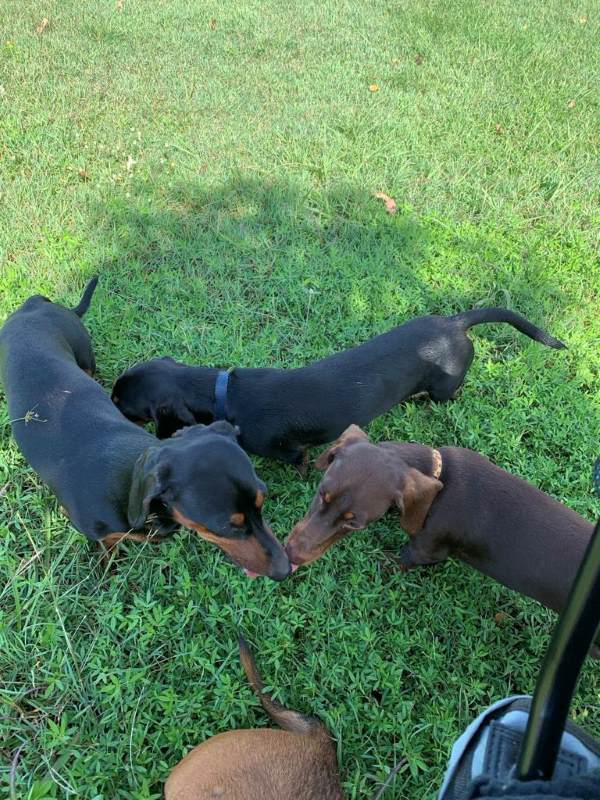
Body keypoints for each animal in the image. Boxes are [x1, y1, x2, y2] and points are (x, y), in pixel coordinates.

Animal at [286, 428, 596, 648]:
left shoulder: (426, 548)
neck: (440, 479)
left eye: (354, 523)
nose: (291, 554)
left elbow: (403, 559)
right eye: (322, 493)